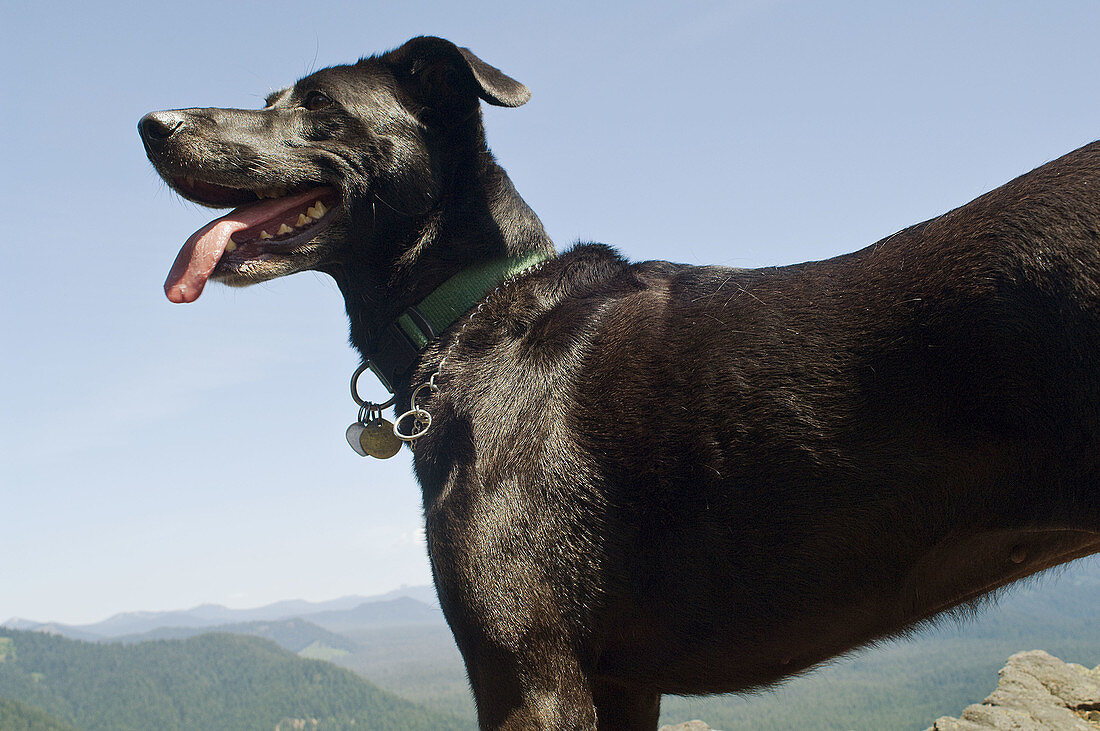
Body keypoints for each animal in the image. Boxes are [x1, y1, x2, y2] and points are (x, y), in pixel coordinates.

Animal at [139, 34, 1100, 729]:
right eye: (272, 100)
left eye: (320, 108)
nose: (151, 122)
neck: (475, 312)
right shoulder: (620, 680)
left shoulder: (528, 674)